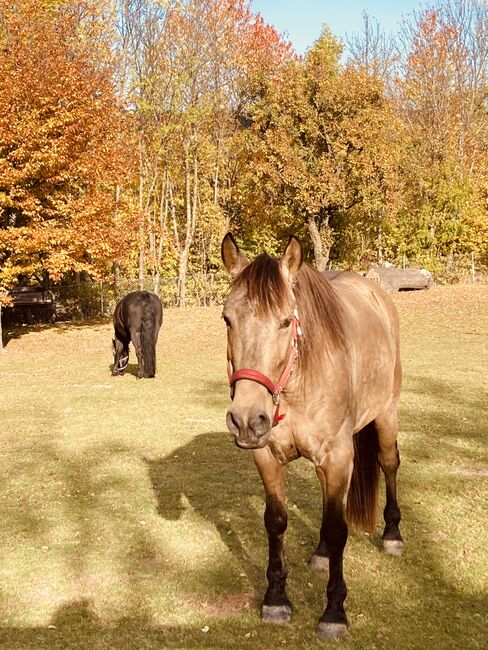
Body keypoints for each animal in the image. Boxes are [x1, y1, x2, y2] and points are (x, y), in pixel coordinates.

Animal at [222, 233, 404, 636]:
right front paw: (275, 599)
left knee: (389, 464)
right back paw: (321, 553)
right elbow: (276, 522)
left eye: (285, 321)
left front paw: (334, 612)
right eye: (227, 319)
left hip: (385, 415)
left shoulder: (337, 456)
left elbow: (338, 529)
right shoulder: (268, 457)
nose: (246, 420)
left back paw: (393, 536)